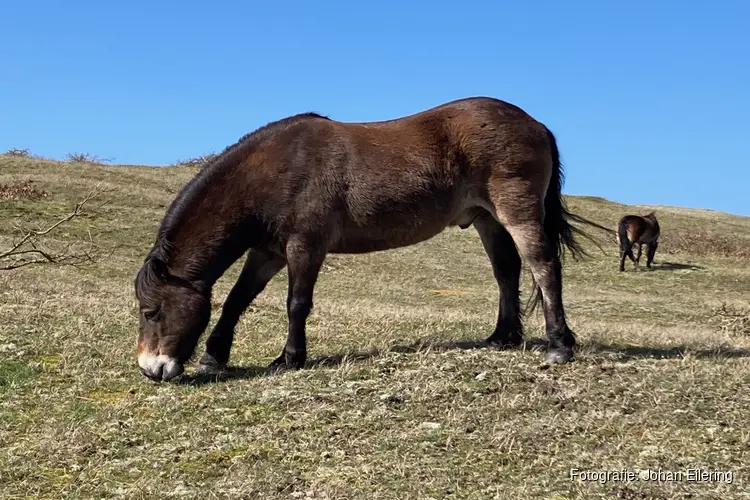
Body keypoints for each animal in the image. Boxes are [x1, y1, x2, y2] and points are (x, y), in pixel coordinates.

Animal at [134, 95, 600, 380]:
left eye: (150, 311)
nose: (150, 368)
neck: (274, 169)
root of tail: (535, 123)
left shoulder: (305, 246)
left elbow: (296, 304)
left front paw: (289, 358)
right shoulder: (267, 252)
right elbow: (236, 300)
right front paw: (214, 358)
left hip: (517, 211)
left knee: (543, 267)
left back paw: (559, 345)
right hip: (488, 219)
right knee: (507, 272)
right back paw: (503, 337)